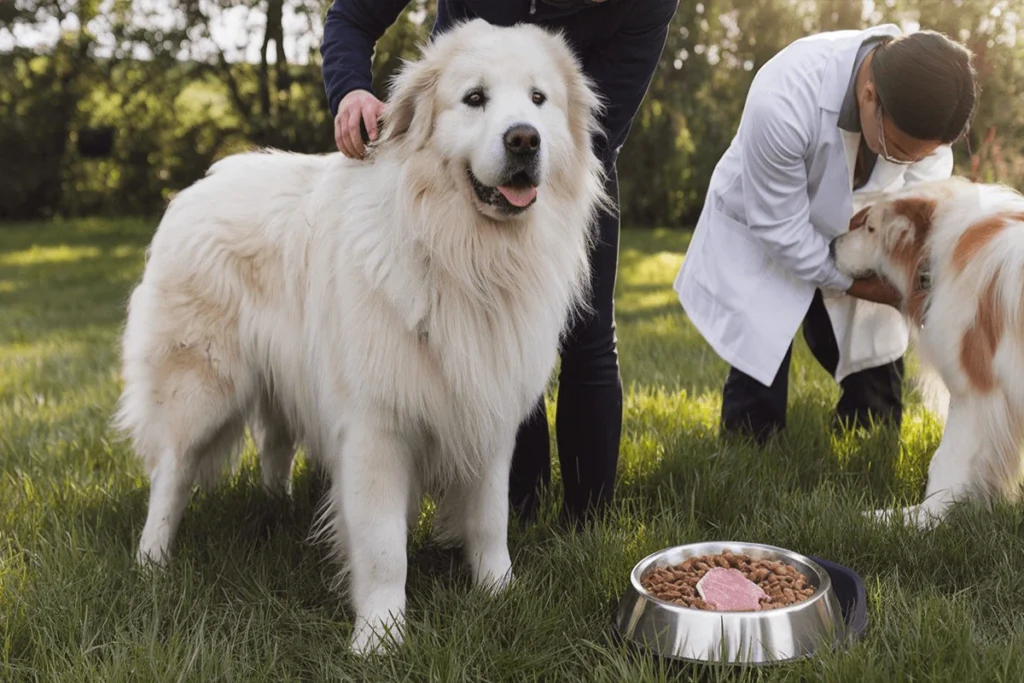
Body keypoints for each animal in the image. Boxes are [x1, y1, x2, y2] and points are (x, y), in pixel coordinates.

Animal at [114, 18, 606, 655]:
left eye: (539, 99)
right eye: (475, 98)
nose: (524, 139)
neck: (461, 257)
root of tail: (198, 186)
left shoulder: (487, 414)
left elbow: (489, 518)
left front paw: (500, 593)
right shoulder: (378, 430)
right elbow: (382, 547)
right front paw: (380, 636)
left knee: (275, 443)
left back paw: (278, 508)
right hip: (201, 386)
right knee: (170, 474)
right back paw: (152, 562)